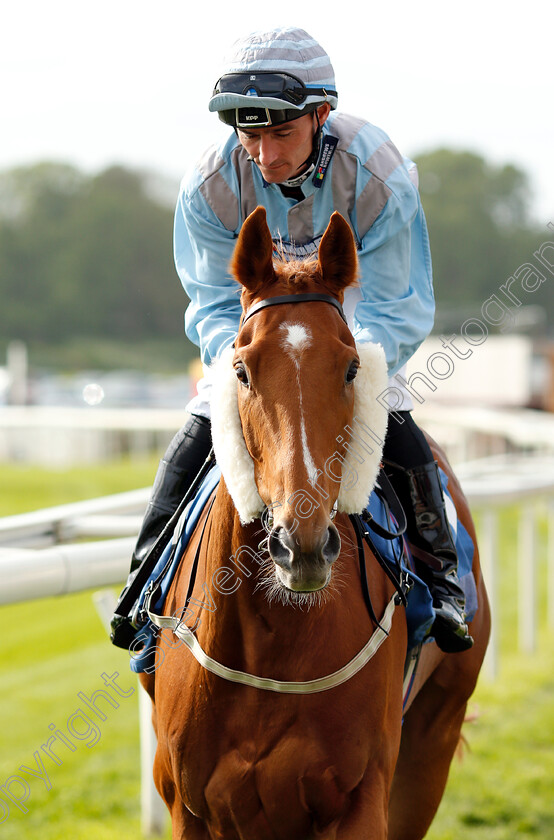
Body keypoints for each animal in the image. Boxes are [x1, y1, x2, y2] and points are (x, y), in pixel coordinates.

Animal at [140, 205, 490, 840]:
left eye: (351, 367)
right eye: (242, 369)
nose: (300, 544)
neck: (272, 643)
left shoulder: (360, 798)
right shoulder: (188, 802)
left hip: (434, 738)